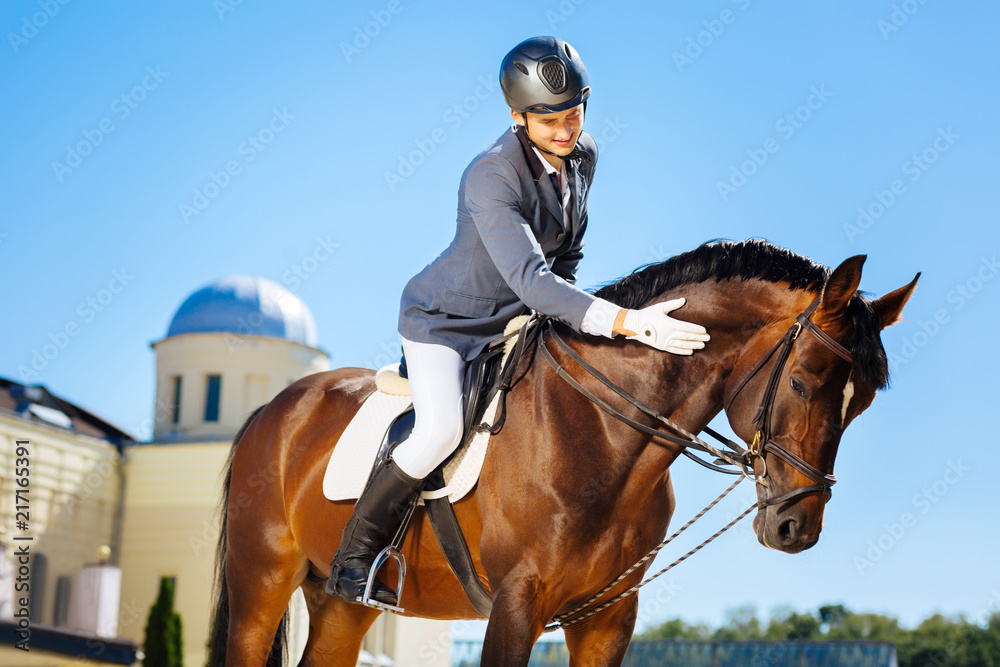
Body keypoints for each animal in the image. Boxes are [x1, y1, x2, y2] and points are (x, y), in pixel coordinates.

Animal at [207, 241, 916, 667]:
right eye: (803, 381)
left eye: (862, 404)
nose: (796, 527)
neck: (605, 436)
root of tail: (275, 408)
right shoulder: (516, 604)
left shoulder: (607, 617)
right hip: (261, 584)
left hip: (340, 606)